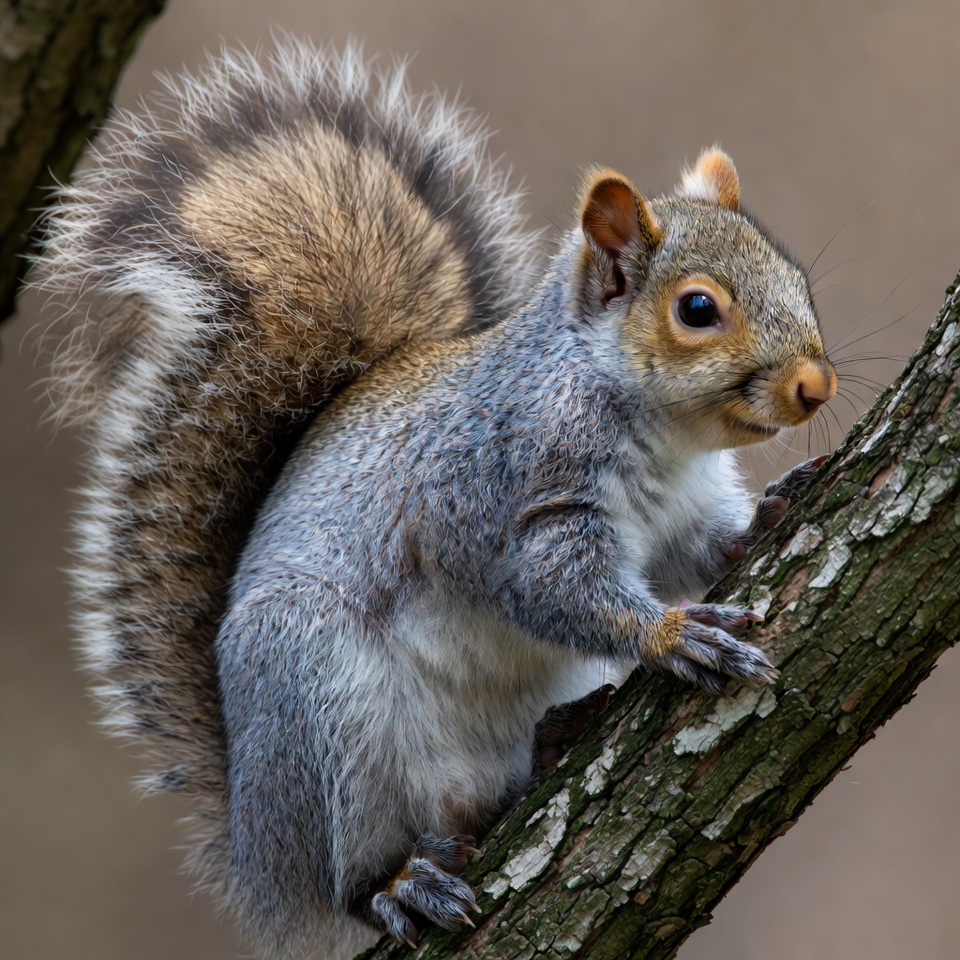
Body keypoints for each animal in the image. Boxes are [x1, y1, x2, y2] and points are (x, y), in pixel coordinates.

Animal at [38, 39, 837, 960]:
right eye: (698, 308)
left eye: (798, 279)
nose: (817, 386)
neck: (663, 436)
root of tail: (252, 846)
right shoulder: (501, 501)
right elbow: (556, 591)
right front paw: (672, 635)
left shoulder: (678, 513)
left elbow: (699, 548)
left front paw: (771, 511)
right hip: (314, 700)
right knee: (348, 875)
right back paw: (397, 885)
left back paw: (551, 739)